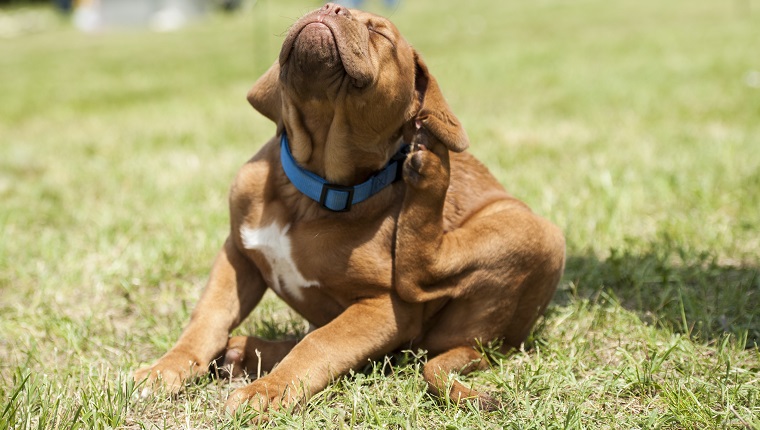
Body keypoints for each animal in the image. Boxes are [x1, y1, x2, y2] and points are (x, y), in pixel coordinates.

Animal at [135, 1, 564, 414]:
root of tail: (491, 345)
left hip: (537, 233)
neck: (311, 190)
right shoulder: (237, 254)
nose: (331, 8)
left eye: (380, 33)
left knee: (420, 274)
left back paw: (432, 167)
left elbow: (321, 344)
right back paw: (246, 352)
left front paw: (268, 392)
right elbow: (207, 318)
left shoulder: (385, 309)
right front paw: (166, 369)